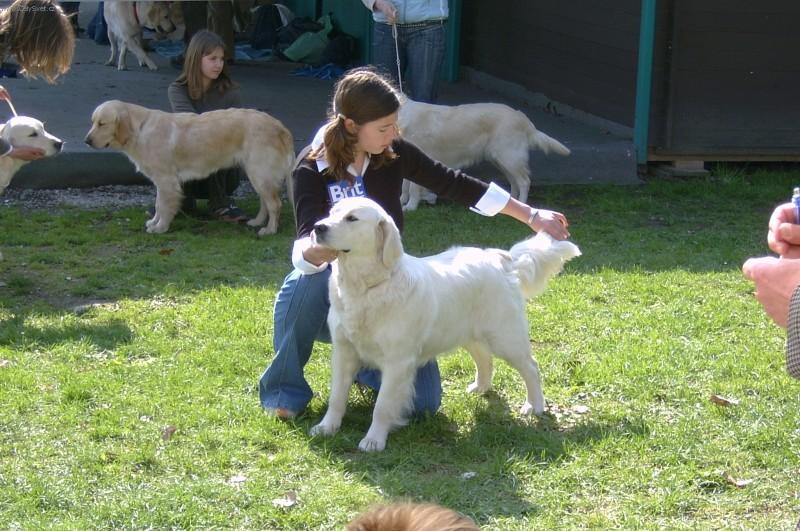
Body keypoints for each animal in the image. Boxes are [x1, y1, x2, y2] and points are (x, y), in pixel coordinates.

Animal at [83, 101, 294, 236]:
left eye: (102, 123)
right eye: (92, 122)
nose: (86, 141)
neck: (140, 130)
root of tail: (280, 126)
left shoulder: (167, 180)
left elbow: (163, 205)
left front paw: (160, 228)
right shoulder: (161, 181)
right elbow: (158, 204)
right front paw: (154, 222)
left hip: (260, 173)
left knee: (275, 204)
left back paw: (270, 230)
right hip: (257, 174)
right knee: (265, 202)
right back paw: (257, 221)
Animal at [310, 197, 580, 450]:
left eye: (352, 218)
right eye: (331, 213)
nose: (318, 227)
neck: (365, 288)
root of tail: (503, 259)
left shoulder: (398, 361)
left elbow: (383, 405)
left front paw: (374, 440)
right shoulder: (343, 352)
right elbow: (337, 396)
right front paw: (327, 427)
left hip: (505, 337)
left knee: (531, 367)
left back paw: (534, 406)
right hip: (468, 332)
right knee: (485, 359)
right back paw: (480, 387)